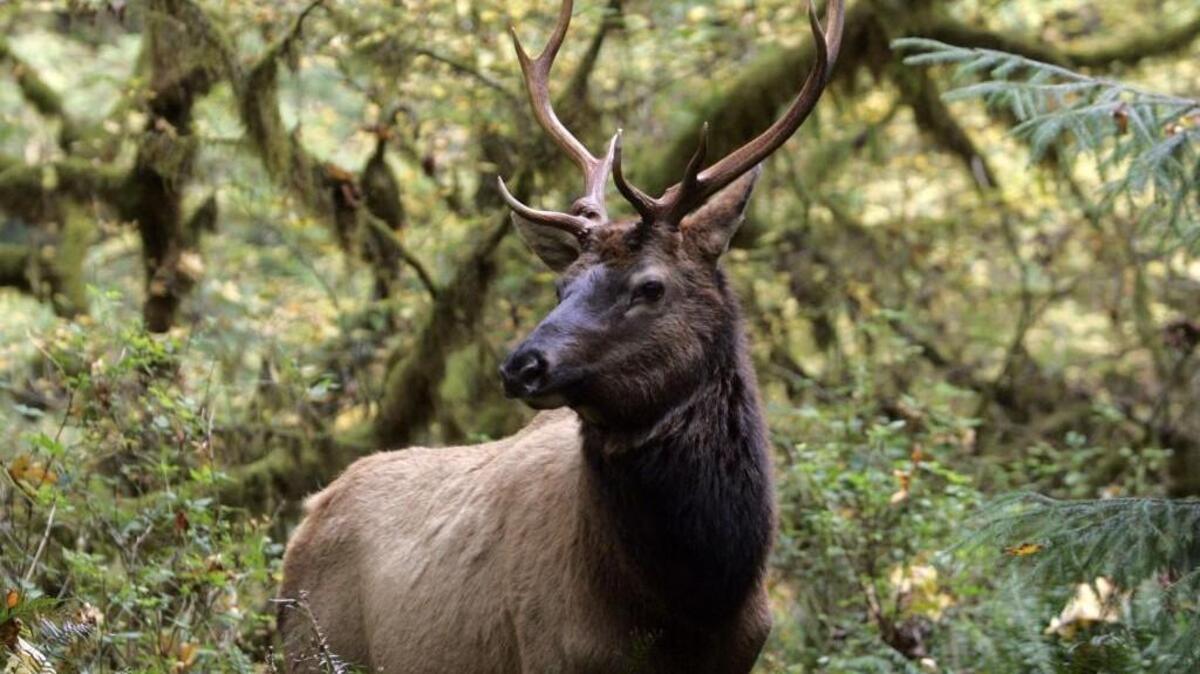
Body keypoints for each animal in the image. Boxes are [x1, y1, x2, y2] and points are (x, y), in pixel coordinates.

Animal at [279, 0, 843, 671]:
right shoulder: (550, 649)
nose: (520, 366)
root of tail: (308, 514)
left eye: (650, 286)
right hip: (308, 646)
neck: (689, 607)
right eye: (560, 286)